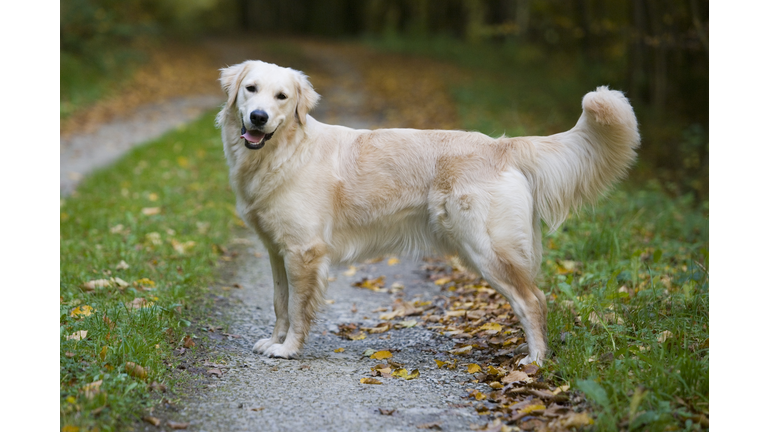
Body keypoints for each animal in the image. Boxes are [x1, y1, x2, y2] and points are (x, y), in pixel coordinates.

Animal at [218, 60, 640, 364]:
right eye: (251, 89)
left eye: (282, 97)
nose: (258, 117)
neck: (284, 151)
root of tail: (502, 145)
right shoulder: (278, 251)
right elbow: (280, 303)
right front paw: (274, 340)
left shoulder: (304, 251)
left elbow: (298, 307)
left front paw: (288, 349)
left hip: (487, 249)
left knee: (532, 301)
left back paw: (535, 362)